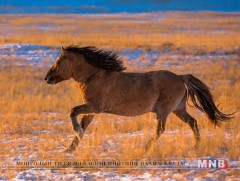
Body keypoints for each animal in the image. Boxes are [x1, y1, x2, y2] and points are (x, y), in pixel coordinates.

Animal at [44, 45, 232, 153]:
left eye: (59, 62)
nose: (47, 78)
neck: (95, 77)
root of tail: (180, 77)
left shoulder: (94, 107)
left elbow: (72, 112)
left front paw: (75, 134)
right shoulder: (92, 111)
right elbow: (83, 125)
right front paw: (69, 149)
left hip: (164, 111)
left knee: (160, 129)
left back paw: (146, 147)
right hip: (178, 110)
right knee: (192, 122)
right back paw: (196, 146)